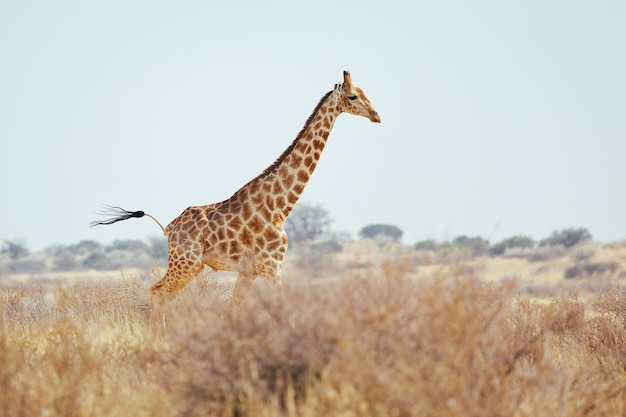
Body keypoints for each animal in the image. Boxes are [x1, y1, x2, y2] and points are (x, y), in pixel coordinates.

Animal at [90, 70, 378, 318]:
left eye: (364, 92)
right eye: (353, 96)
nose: (376, 115)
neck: (281, 206)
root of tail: (169, 229)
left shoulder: (249, 271)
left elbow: (233, 311)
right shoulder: (271, 264)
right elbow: (285, 312)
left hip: (191, 265)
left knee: (163, 294)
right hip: (186, 262)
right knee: (157, 292)